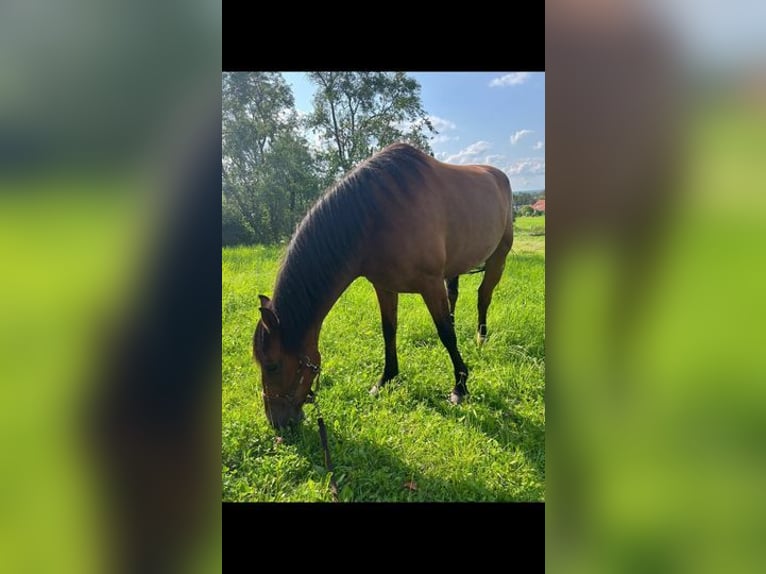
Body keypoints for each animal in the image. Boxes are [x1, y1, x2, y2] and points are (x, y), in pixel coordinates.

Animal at [254, 143, 516, 430]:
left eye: (273, 365)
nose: (277, 422)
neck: (375, 217)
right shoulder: (384, 287)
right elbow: (389, 331)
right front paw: (385, 379)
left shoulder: (430, 283)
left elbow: (446, 333)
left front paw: (460, 386)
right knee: (454, 295)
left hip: (498, 258)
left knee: (483, 296)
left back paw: (481, 337)